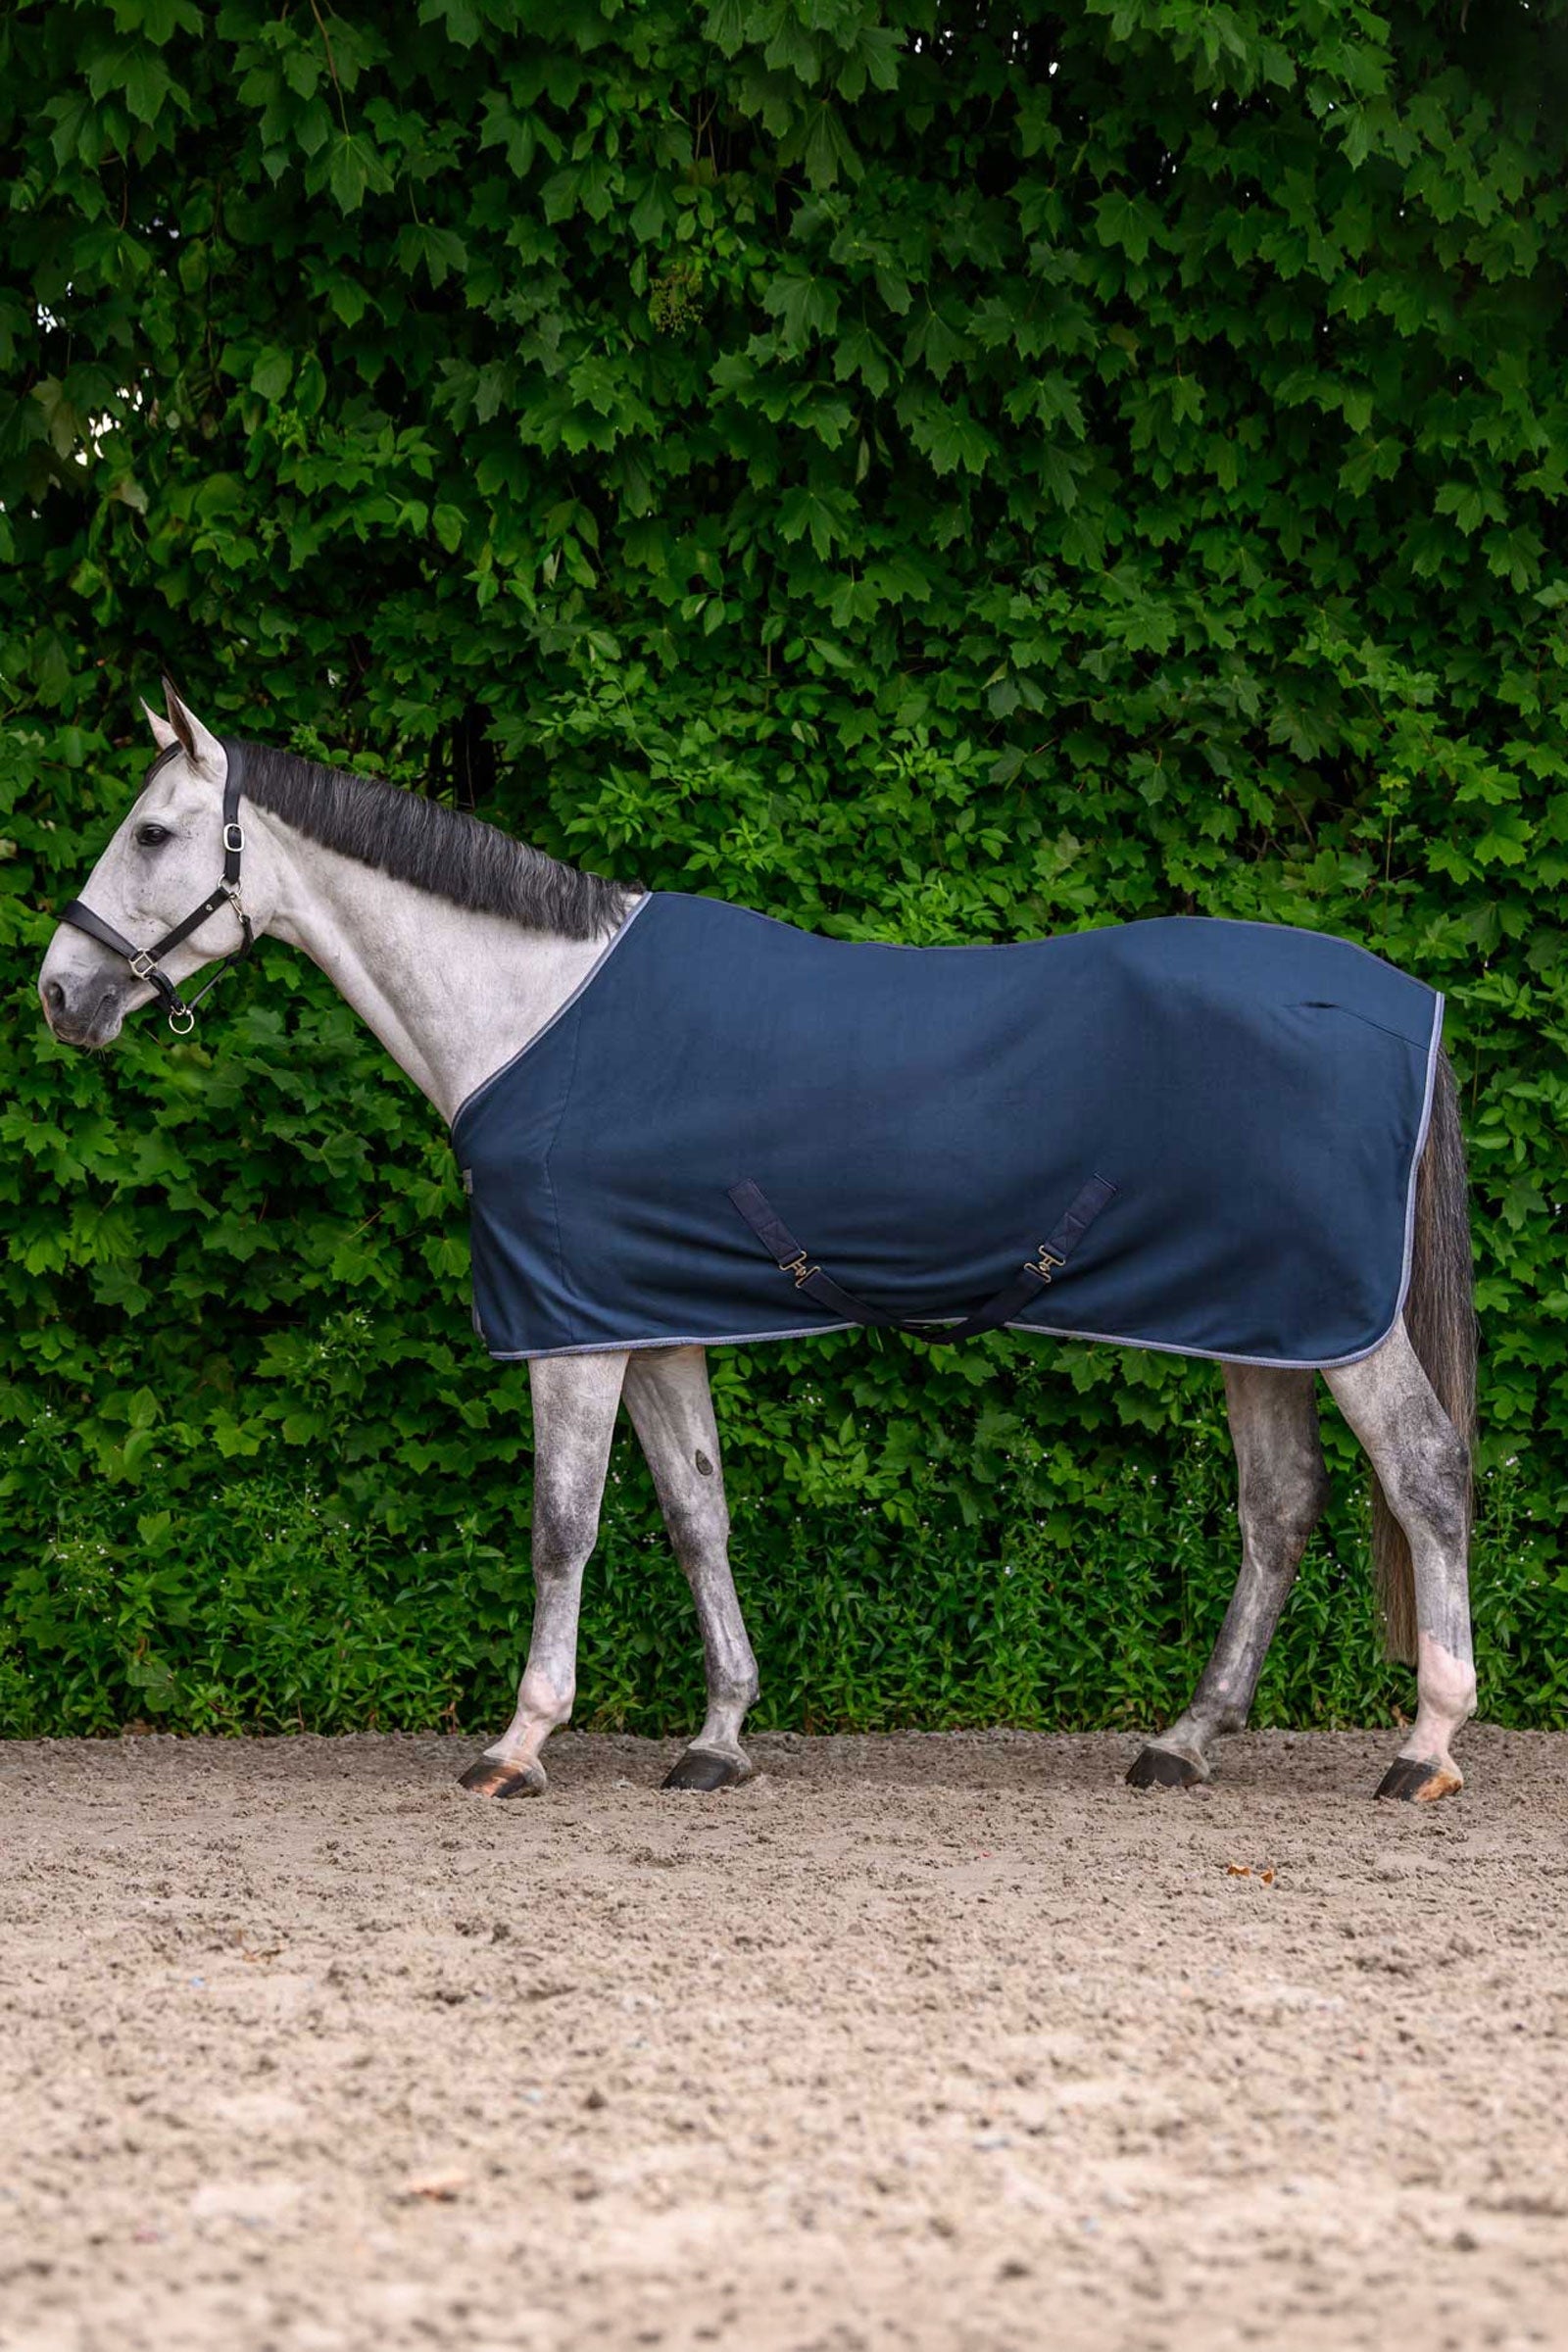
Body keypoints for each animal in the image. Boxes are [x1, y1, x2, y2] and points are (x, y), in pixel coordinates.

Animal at [37, 684, 1478, 1803]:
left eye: (153, 830)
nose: (61, 993)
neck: (532, 1012)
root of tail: (1403, 1001)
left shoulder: (571, 1335)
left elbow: (563, 1525)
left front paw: (519, 1743)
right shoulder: (647, 1318)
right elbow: (696, 1513)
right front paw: (720, 1736)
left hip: (1337, 1325)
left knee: (1424, 1472)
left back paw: (1424, 1746)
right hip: (1263, 1322)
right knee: (1278, 1509)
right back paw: (1184, 1741)